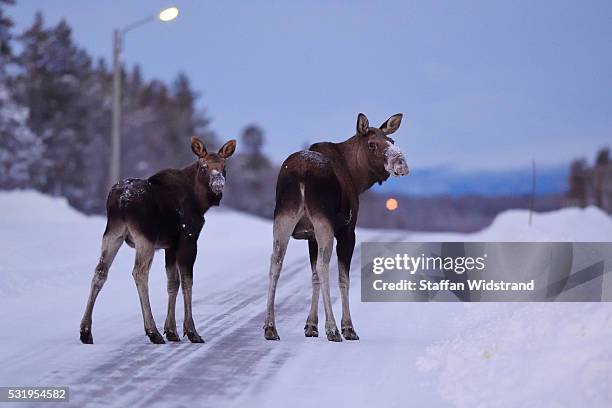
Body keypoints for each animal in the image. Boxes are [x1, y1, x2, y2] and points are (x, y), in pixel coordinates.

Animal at [79, 136, 237, 344]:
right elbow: (187, 282)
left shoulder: (170, 246)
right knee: (139, 273)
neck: (200, 202)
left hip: (113, 233)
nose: (218, 184)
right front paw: (191, 331)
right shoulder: (188, 238)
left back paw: (85, 330)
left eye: (224, 165)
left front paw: (171, 330)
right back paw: (152, 331)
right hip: (145, 239)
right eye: (204, 166)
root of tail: (121, 200)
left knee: (100, 271)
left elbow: (172, 283)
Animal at [266, 113, 408, 342]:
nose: (401, 164)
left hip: (283, 219)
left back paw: (270, 327)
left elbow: (313, 277)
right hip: (324, 223)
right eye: (372, 144)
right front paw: (347, 327)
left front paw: (311, 325)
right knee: (324, 267)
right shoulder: (347, 231)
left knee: (276, 264)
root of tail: (301, 174)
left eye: (392, 141)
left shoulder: (310, 236)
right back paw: (332, 329)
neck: (358, 178)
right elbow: (343, 278)